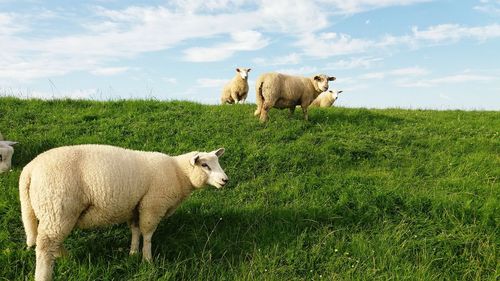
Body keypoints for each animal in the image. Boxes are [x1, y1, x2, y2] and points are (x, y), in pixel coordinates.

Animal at [19, 144, 229, 280]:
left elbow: (135, 231)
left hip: (54, 213)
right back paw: (44, 275)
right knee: (45, 246)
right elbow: (148, 234)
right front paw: (147, 260)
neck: (179, 173)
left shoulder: (136, 206)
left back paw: (65, 257)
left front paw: (133, 253)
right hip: (57, 207)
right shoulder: (152, 205)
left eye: (217, 163)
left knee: (50, 241)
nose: (225, 180)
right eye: (205, 165)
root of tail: (29, 170)